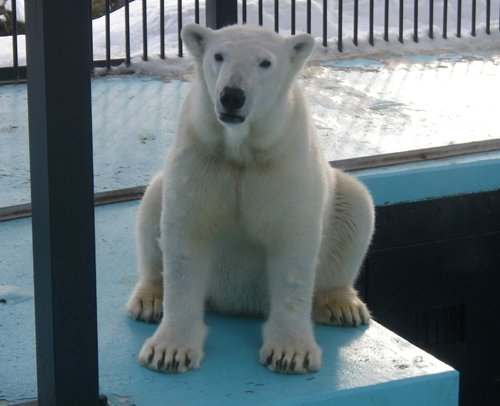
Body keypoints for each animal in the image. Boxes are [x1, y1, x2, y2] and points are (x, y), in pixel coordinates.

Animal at [126, 23, 376, 374]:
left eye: (265, 62)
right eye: (219, 55)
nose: (232, 96)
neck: (241, 151)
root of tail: (239, 303)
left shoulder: (283, 166)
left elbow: (292, 252)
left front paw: (290, 353)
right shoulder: (203, 159)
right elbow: (185, 239)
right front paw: (169, 351)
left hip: (341, 201)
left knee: (356, 205)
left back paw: (341, 305)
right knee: (152, 204)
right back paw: (150, 299)